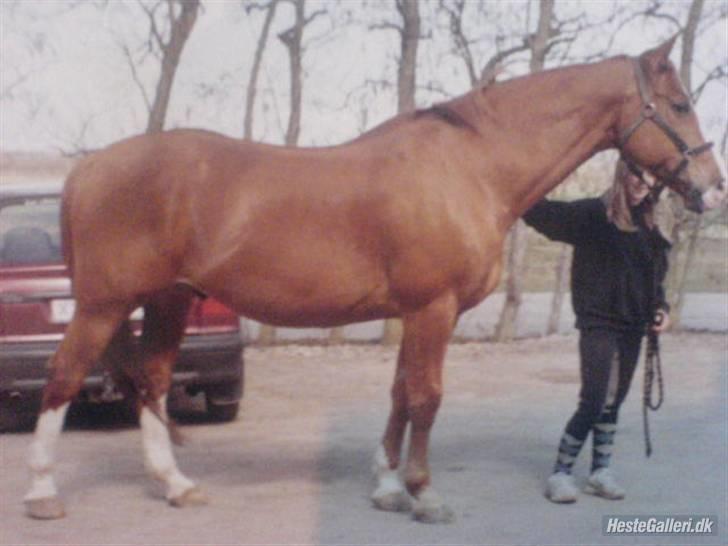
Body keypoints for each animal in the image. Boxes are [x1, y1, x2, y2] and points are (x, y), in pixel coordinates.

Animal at [25, 36, 724, 520]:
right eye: (681, 104)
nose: (713, 188)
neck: (471, 167)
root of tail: (87, 168)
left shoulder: (413, 311)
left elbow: (399, 393)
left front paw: (387, 486)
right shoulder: (435, 307)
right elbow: (426, 397)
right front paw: (423, 494)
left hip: (170, 301)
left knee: (152, 380)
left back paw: (176, 485)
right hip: (103, 305)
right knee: (62, 378)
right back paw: (42, 493)